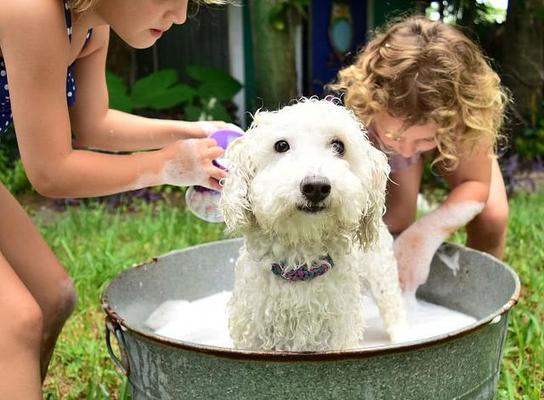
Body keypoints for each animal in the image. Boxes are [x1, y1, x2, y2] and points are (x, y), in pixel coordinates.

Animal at [219, 97, 406, 350]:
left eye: (338, 146)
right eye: (281, 145)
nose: (316, 186)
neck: (301, 264)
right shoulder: (252, 337)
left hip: (381, 272)